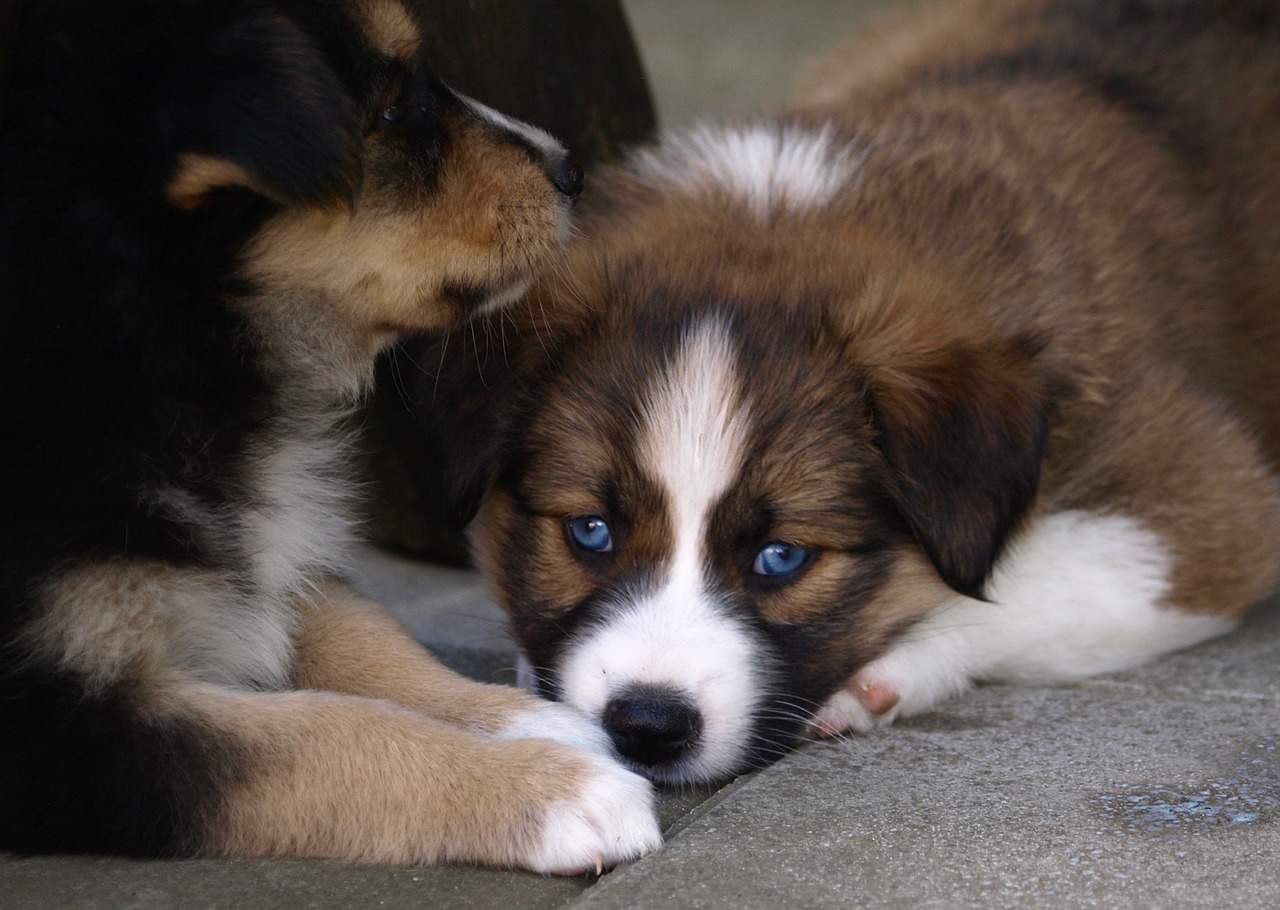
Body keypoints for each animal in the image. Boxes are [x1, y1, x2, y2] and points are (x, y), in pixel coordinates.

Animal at [0, 0, 660, 870]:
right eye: (392, 110)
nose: (572, 168)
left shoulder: (266, 559)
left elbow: (364, 636)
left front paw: (534, 722)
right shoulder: (57, 726)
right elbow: (319, 736)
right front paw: (559, 790)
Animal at [427, 0, 1280, 788]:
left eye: (782, 557)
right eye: (590, 532)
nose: (648, 724)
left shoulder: (1207, 499)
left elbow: (1009, 586)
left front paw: (885, 675)